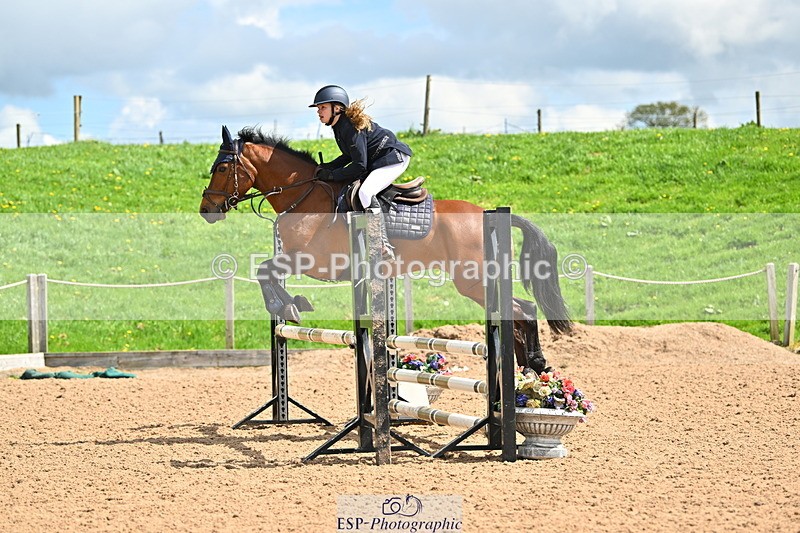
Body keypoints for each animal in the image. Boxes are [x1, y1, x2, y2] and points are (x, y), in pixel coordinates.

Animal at [199, 126, 572, 374]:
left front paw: (288, 305)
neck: (303, 196)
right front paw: (294, 302)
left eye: (222, 167)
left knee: (520, 310)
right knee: (522, 310)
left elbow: (264, 270)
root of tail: (489, 214)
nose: (207, 210)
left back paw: (534, 365)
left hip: (472, 280)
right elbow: (266, 271)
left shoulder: (310, 261)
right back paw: (533, 367)